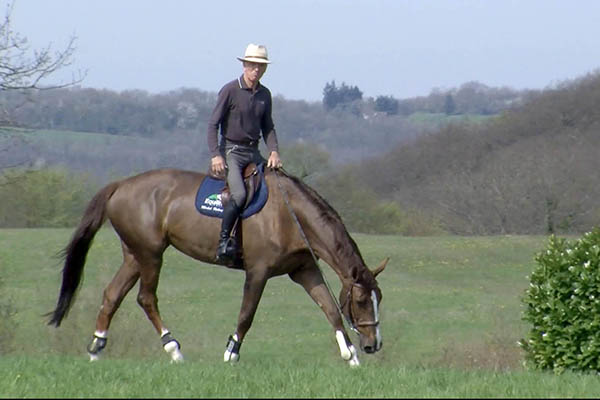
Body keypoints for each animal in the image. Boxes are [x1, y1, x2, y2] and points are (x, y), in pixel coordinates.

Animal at [45, 166, 384, 366]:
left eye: (378, 299)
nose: (373, 345)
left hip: (134, 256)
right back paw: (173, 348)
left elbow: (329, 309)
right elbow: (247, 314)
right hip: (151, 254)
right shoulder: (258, 272)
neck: (291, 215)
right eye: (361, 301)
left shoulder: (304, 271)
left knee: (112, 294)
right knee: (146, 298)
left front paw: (350, 354)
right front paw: (231, 352)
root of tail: (121, 185)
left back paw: (97, 347)